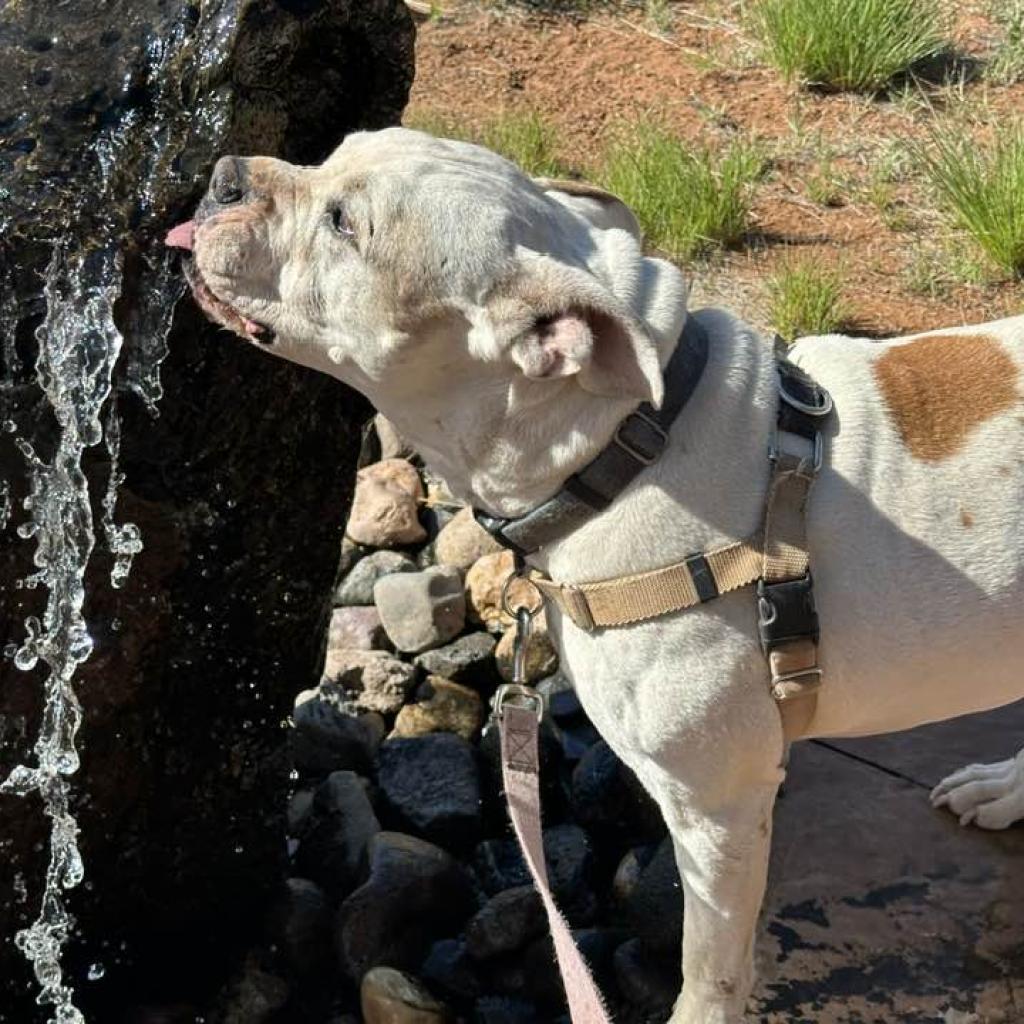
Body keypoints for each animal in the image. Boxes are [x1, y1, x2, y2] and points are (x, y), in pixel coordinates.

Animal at [167, 130, 1024, 1024]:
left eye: (343, 222)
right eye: (336, 150)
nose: (223, 176)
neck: (623, 441)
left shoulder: (719, 812)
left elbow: (710, 969)